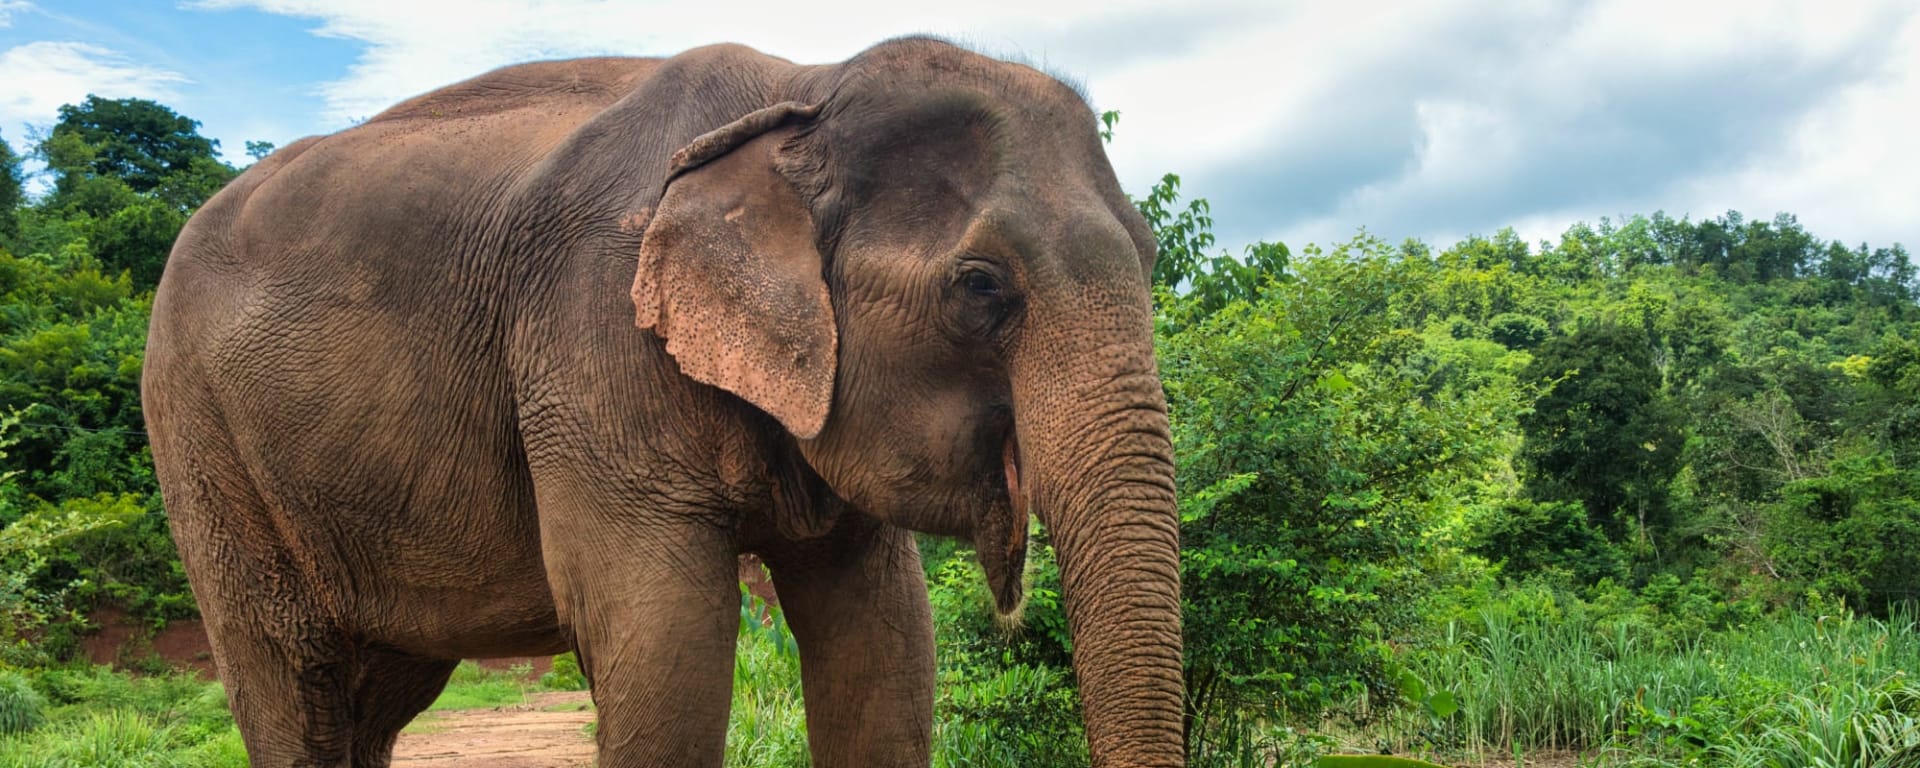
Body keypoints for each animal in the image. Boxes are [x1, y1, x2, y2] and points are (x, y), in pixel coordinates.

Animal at [142, 37, 1182, 767]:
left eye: (1152, 257)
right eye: (980, 286)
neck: (803, 89)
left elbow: (883, 639)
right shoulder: (590, 332)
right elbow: (665, 642)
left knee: (378, 694)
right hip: (199, 438)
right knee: (295, 678)